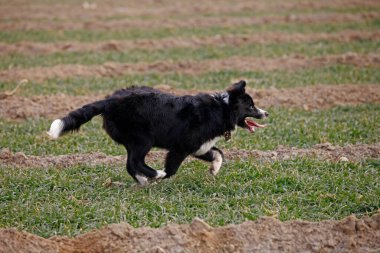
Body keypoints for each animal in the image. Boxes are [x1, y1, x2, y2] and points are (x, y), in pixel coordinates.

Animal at [46, 80, 268, 185]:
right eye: (251, 107)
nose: (266, 113)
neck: (223, 108)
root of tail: (110, 101)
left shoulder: (198, 146)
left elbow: (218, 153)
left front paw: (214, 169)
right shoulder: (181, 147)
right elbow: (172, 169)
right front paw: (161, 176)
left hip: (136, 140)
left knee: (131, 165)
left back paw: (143, 180)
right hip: (142, 139)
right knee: (134, 162)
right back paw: (152, 175)